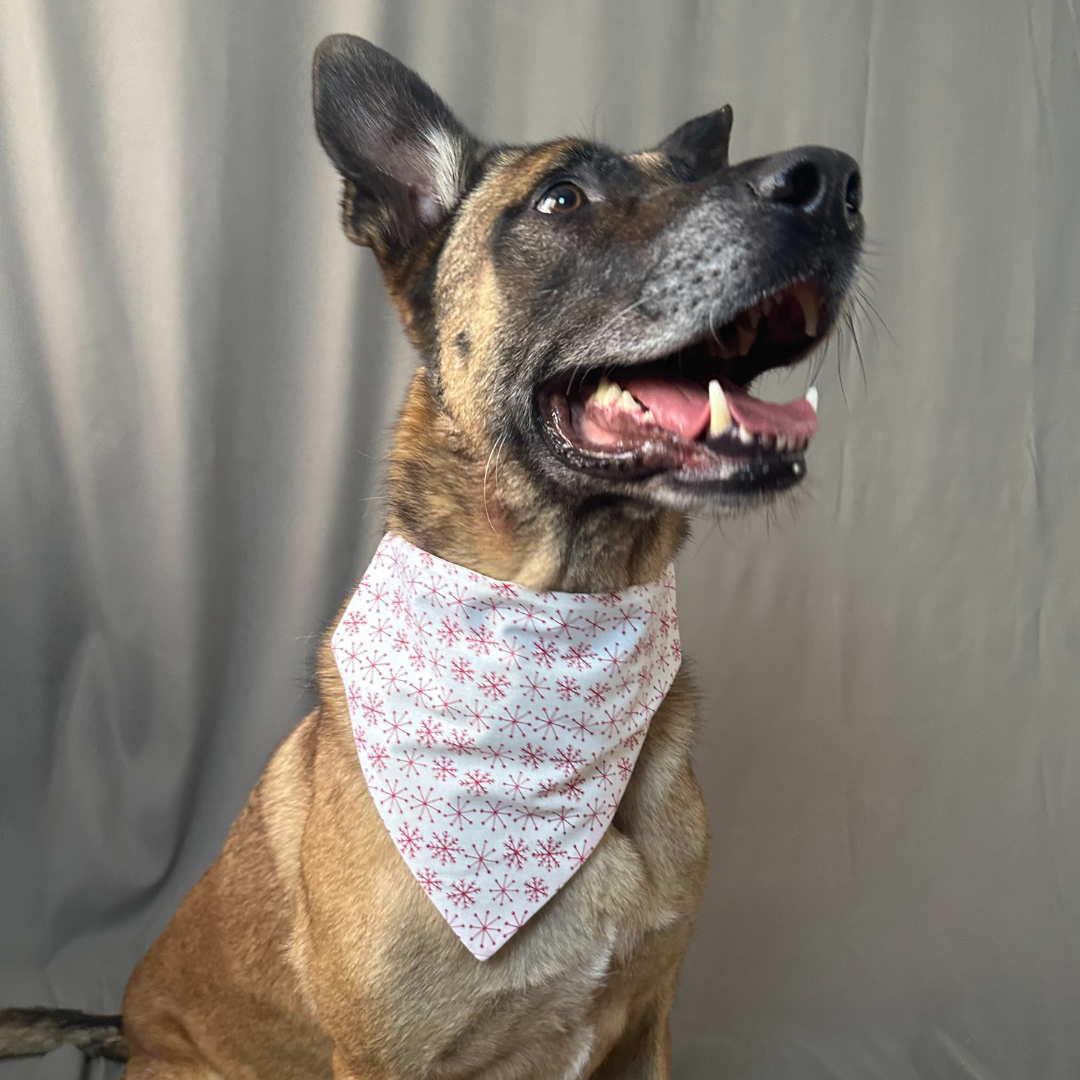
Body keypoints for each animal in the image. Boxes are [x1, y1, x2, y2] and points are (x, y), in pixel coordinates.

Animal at [0, 31, 859, 1080]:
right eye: (562, 197)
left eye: (693, 173)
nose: (832, 183)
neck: (557, 620)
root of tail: (125, 1026)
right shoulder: (386, 1058)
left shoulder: (646, 1028)